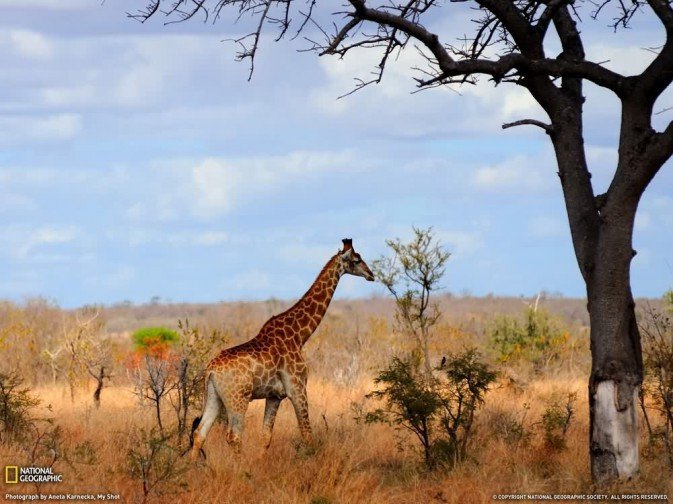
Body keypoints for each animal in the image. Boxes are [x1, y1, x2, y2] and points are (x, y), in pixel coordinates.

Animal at [189, 238, 376, 458]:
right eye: (357, 260)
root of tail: (210, 371)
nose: (371, 275)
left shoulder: (274, 396)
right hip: (238, 399)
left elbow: (266, 438)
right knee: (234, 436)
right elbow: (307, 433)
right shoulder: (297, 388)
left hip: (214, 397)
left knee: (200, 433)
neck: (298, 336)